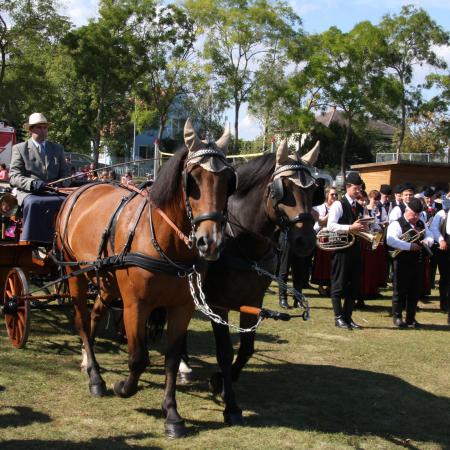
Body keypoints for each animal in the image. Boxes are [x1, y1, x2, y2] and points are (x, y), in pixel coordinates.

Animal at [54, 118, 236, 436]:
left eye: (228, 181)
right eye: (193, 180)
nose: (210, 242)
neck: (166, 243)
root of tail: (80, 189)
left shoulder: (181, 307)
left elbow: (172, 359)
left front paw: (172, 414)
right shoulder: (136, 305)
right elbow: (138, 358)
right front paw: (123, 387)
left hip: (107, 281)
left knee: (94, 315)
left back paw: (89, 363)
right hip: (75, 272)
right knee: (81, 319)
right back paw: (96, 378)